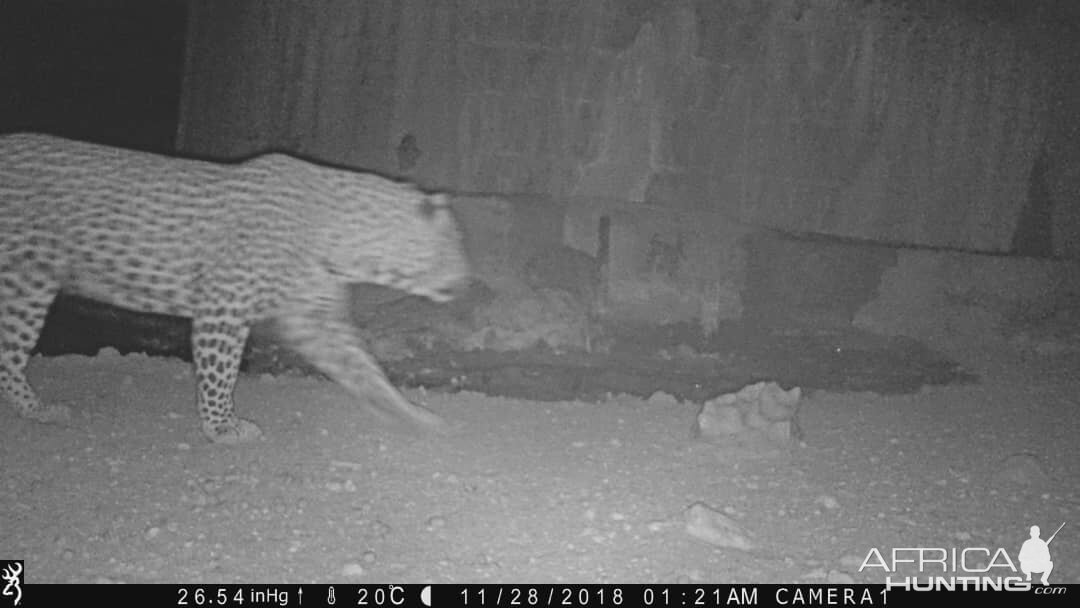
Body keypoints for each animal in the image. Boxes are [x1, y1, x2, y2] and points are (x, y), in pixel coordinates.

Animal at [1, 133, 473, 444]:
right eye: (456, 244)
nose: (470, 281)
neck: (345, 241)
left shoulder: (314, 320)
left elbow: (366, 371)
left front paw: (413, 416)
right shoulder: (223, 310)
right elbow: (221, 373)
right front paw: (222, 426)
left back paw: (37, 411)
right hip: (26, 282)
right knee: (9, 356)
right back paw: (39, 410)